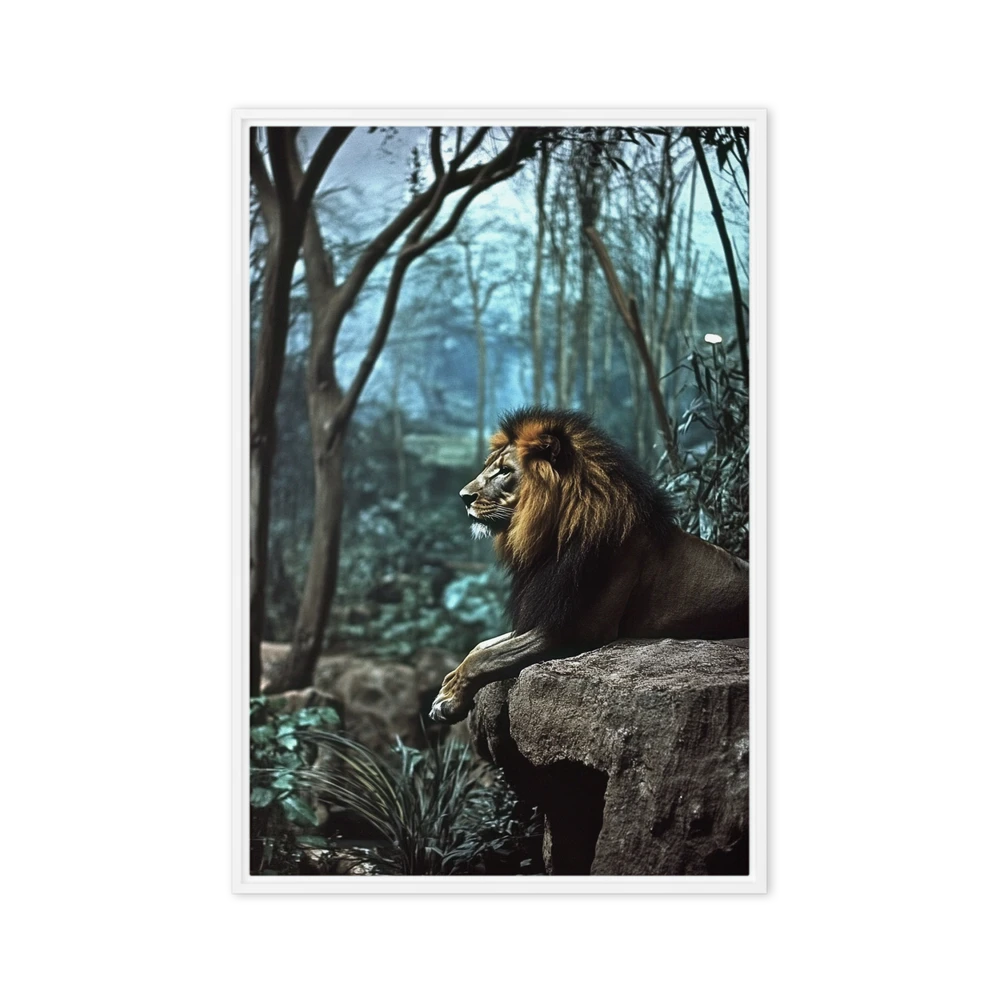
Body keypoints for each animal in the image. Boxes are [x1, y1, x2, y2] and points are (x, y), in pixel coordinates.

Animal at [429, 407, 749, 724]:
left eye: (505, 470)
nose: (463, 497)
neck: (553, 537)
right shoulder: (544, 611)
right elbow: (482, 646)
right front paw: (447, 687)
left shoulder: (578, 629)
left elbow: (488, 656)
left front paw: (449, 699)